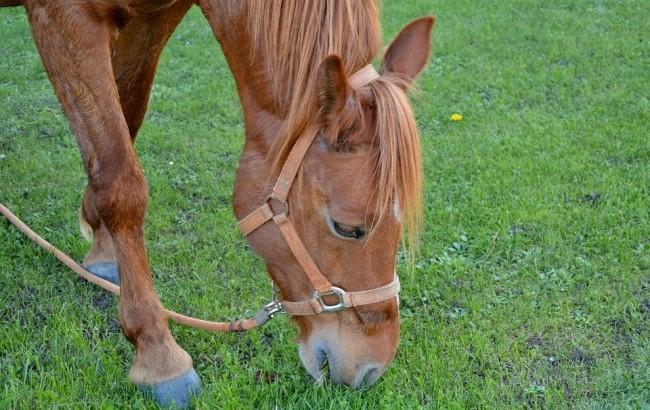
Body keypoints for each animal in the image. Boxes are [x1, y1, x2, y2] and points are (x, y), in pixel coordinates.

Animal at [1, 0, 436, 406]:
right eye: (348, 228)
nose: (371, 367)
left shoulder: (152, 21)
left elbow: (127, 117)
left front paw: (103, 246)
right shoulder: (64, 18)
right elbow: (118, 179)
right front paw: (158, 356)